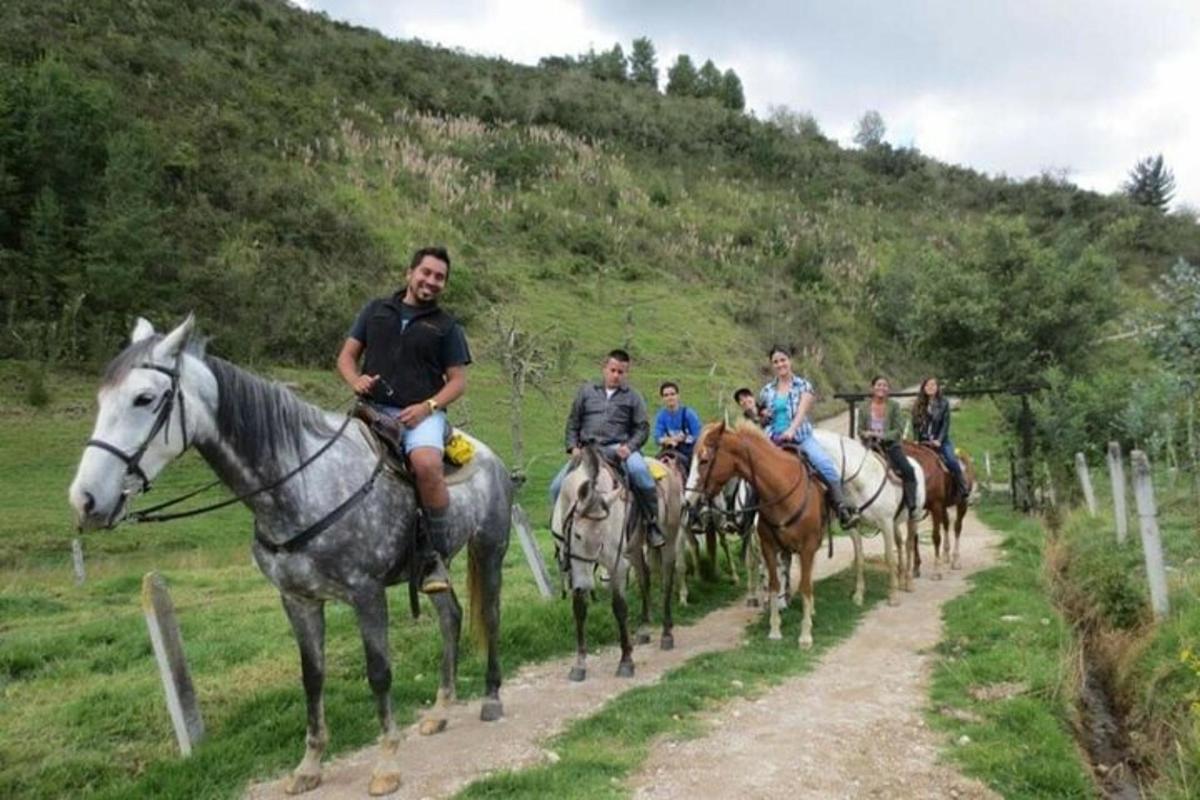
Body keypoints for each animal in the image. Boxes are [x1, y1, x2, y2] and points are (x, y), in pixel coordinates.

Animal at [69, 316, 511, 796]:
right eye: (101, 399)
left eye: (145, 398)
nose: (85, 500)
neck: (301, 483)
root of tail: (493, 459)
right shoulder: (298, 600)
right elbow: (311, 677)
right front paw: (309, 766)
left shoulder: (366, 594)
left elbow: (379, 672)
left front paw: (387, 763)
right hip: (433, 571)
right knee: (450, 617)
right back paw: (440, 712)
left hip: (490, 550)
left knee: (489, 615)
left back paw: (491, 699)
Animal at [691, 422, 830, 647]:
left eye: (704, 460)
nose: (689, 500)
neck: (782, 490)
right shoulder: (768, 546)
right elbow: (773, 583)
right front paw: (774, 629)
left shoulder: (807, 547)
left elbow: (805, 586)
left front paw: (805, 636)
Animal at [902, 441, 974, 578]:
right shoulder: (916, 511)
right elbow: (915, 537)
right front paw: (916, 568)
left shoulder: (936, 506)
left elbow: (935, 537)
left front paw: (936, 572)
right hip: (944, 507)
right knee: (946, 523)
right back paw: (945, 555)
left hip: (962, 503)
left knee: (957, 527)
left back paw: (956, 561)